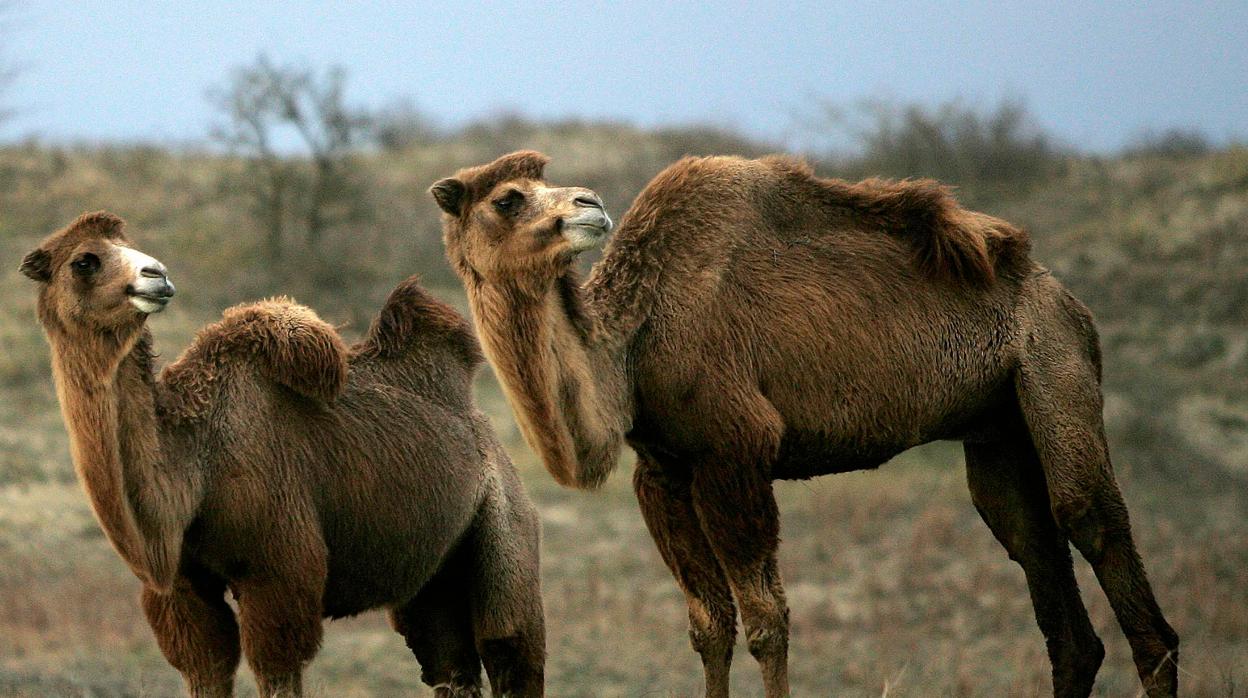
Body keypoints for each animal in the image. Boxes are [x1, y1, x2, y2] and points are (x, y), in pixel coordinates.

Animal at [18, 213, 546, 698]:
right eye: (84, 260)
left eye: (129, 247)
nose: (156, 275)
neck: (196, 466)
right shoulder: (182, 588)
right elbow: (206, 665)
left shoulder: (279, 572)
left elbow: (277, 668)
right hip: (433, 573)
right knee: (447, 658)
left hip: (504, 522)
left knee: (509, 646)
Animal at [431, 152, 1178, 698]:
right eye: (508, 198)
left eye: (543, 185)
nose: (589, 204)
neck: (631, 344)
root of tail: (1059, 292)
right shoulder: (663, 471)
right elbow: (708, 626)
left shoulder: (736, 451)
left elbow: (767, 621)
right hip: (997, 427)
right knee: (1040, 563)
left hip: (1053, 363)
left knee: (1094, 526)